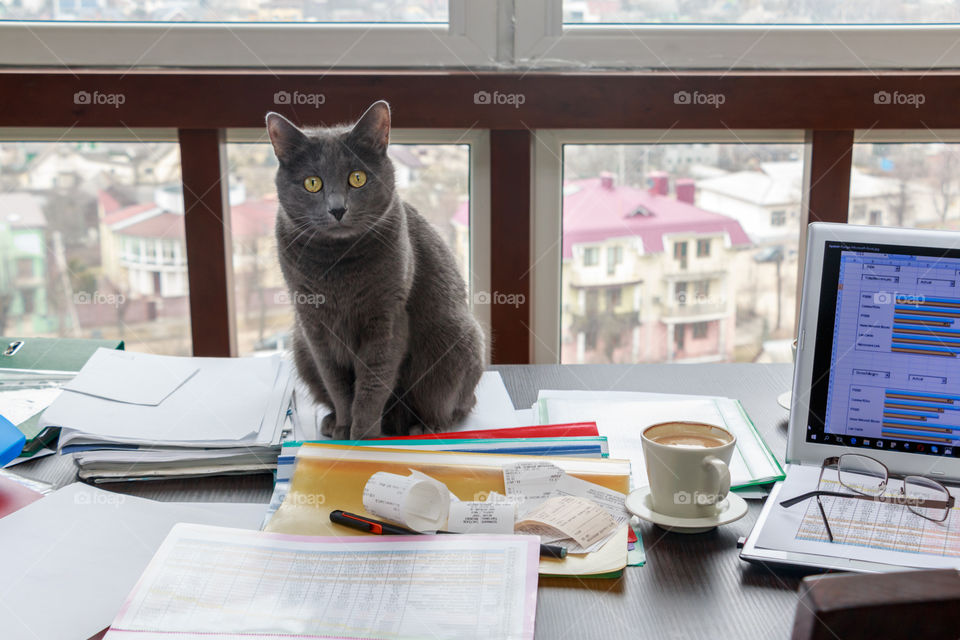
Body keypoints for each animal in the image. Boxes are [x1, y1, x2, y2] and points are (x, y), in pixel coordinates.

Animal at [264, 101, 484, 440]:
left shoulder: (386, 318)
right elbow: (338, 384)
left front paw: (364, 439)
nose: (337, 208)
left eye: (357, 178)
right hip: (300, 347)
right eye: (312, 183)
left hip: (455, 339)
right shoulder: (315, 326)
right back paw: (332, 422)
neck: (338, 265)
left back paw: (424, 426)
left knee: (455, 404)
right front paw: (344, 428)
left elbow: (372, 385)